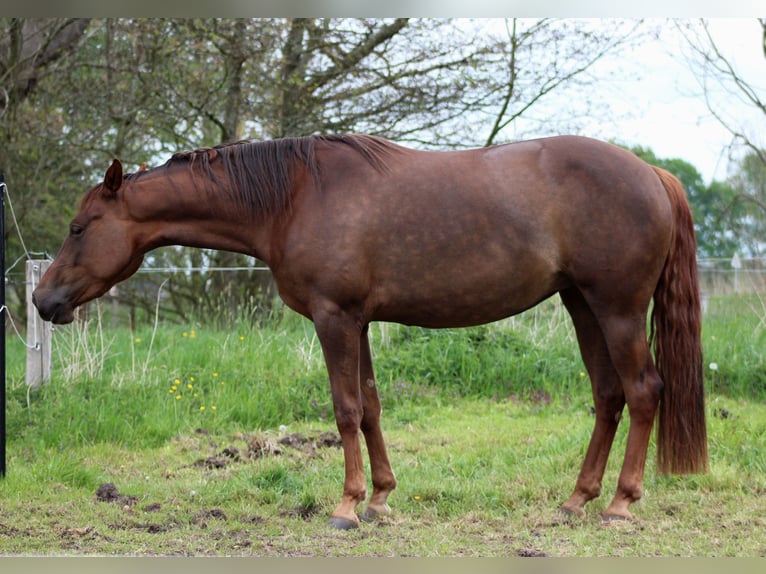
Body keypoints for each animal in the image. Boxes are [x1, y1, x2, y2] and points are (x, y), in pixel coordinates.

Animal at [33, 134, 708, 529]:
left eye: (79, 227)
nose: (43, 301)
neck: (293, 196)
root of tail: (652, 172)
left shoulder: (334, 318)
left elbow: (345, 410)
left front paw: (347, 506)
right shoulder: (356, 322)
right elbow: (374, 406)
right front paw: (381, 497)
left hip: (617, 309)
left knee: (643, 391)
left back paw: (620, 503)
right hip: (581, 305)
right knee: (609, 396)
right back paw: (576, 499)